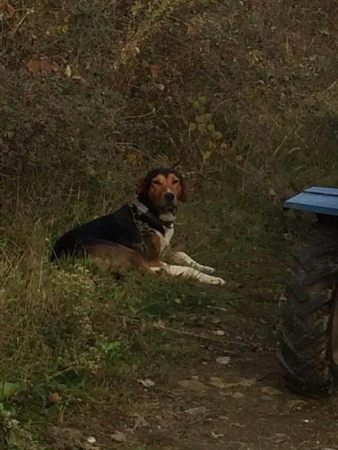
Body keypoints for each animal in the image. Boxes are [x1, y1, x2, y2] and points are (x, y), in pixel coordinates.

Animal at [50, 167, 224, 286]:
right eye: (156, 182)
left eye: (176, 181)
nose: (170, 196)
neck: (151, 214)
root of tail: (58, 258)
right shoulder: (151, 258)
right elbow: (186, 268)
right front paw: (212, 278)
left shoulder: (162, 252)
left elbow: (182, 254)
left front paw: (207, 268)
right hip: (126, 252)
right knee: (154, 276)